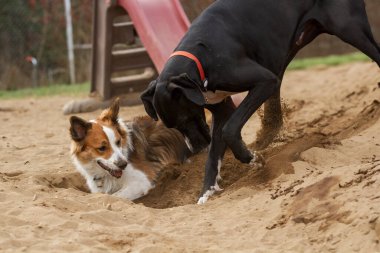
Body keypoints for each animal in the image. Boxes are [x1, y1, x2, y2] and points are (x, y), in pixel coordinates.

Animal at [140, 0, 380, 204]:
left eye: (187, 118)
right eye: (175, 126)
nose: (196, 148)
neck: (200, 57)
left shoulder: (265, 81)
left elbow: (229, 130)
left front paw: (251, 158)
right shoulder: (221, 109)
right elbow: (214, 155)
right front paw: (206, 191)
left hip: (349, 27)